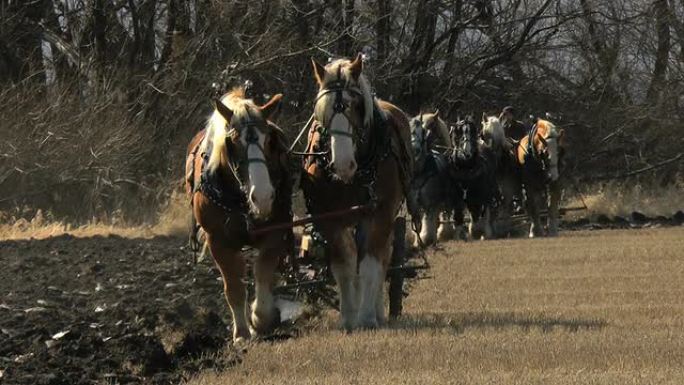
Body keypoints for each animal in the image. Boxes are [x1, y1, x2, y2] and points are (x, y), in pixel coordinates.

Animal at [186, 88, 292, 342]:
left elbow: (263, 273)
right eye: (232, 142)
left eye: (269, 140)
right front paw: (242, 333)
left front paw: (260, 319)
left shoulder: (275, 231)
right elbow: (233, 285)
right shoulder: (218, 241)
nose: (262, 197)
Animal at [304, 54, 412, 330]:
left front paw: (365, 317)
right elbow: (344, 266)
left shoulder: (381, 213)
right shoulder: (328, 218)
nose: (343, 164)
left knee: (381, 259)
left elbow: (371, 266)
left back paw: (377, 311)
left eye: (355, 106)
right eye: (322, 111)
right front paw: (348, 318)